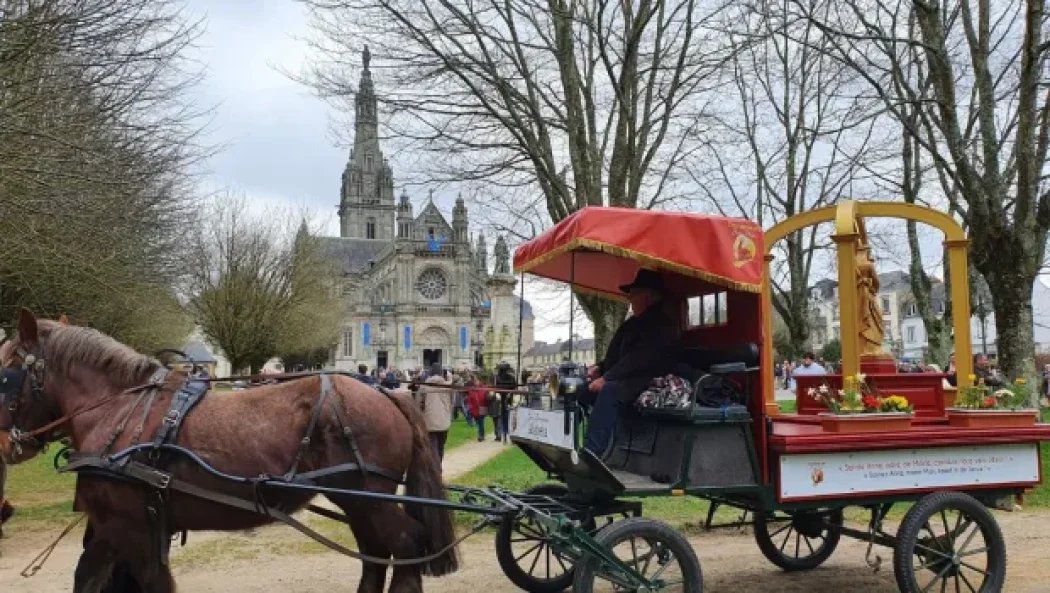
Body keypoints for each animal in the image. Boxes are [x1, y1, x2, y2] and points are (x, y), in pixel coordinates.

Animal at [1, 310, 459, 591]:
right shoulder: (120, 529)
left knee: (405, 546)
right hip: (359, 502)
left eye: (6, 371)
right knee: (375, 556)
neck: (122, 412)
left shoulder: (130, 526)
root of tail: (388, 393)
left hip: (368, 498)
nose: (5, 444)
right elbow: (89, 576)